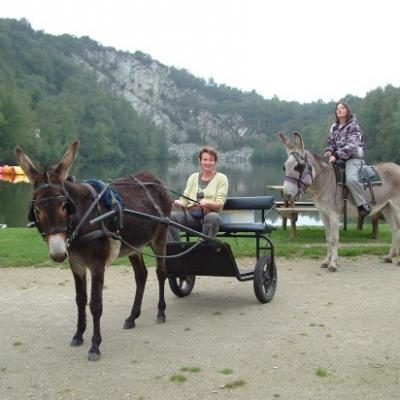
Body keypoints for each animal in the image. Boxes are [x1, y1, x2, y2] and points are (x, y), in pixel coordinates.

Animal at [16, 141, 172, 360]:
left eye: (64, 206)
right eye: (37, 210)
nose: (58, 253)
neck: (84, 219)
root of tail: (153, 178)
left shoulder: (97, 265)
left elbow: (96, 305)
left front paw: (95, 345)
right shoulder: (76, 264)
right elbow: (80, 300)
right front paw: (78, 335)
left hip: (160, 237)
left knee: (161, 272)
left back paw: (160, 312)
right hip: (134, 246)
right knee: (141, 276)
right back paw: (132, 317)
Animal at [278, 131, 400, 272]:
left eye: (299, 167)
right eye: (284, 167)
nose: (287, 195)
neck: (325, 181)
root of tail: (396, 166)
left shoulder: (334, 214)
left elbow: (334, 238)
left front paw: (333, 264)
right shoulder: (323, 214)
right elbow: (327, 237)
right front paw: (326, 261)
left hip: (397, 206)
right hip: (387, 207)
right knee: (395, 229)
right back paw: (390, 256)